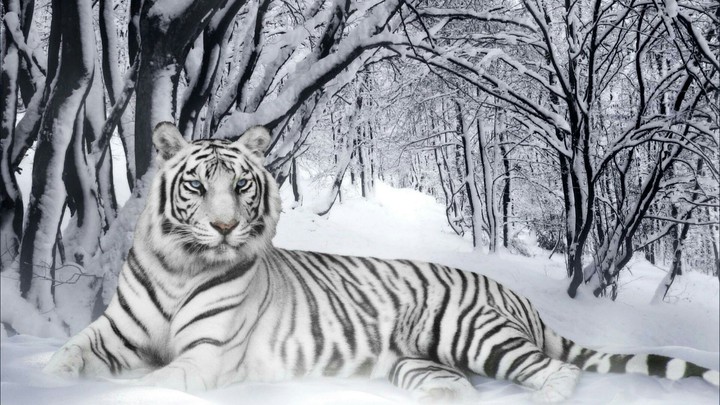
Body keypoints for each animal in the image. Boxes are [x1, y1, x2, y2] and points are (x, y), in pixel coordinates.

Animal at [43, 122, 719, 403]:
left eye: (241, 186)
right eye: (196, 185)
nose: (226, 226)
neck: (181, 266)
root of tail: (515, 295)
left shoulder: (205, 357)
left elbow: (148, 384)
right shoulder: (111, 335)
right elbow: (64, 359)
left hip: (472, 333)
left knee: (556, 373)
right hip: (416, 364)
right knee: (458, 388)